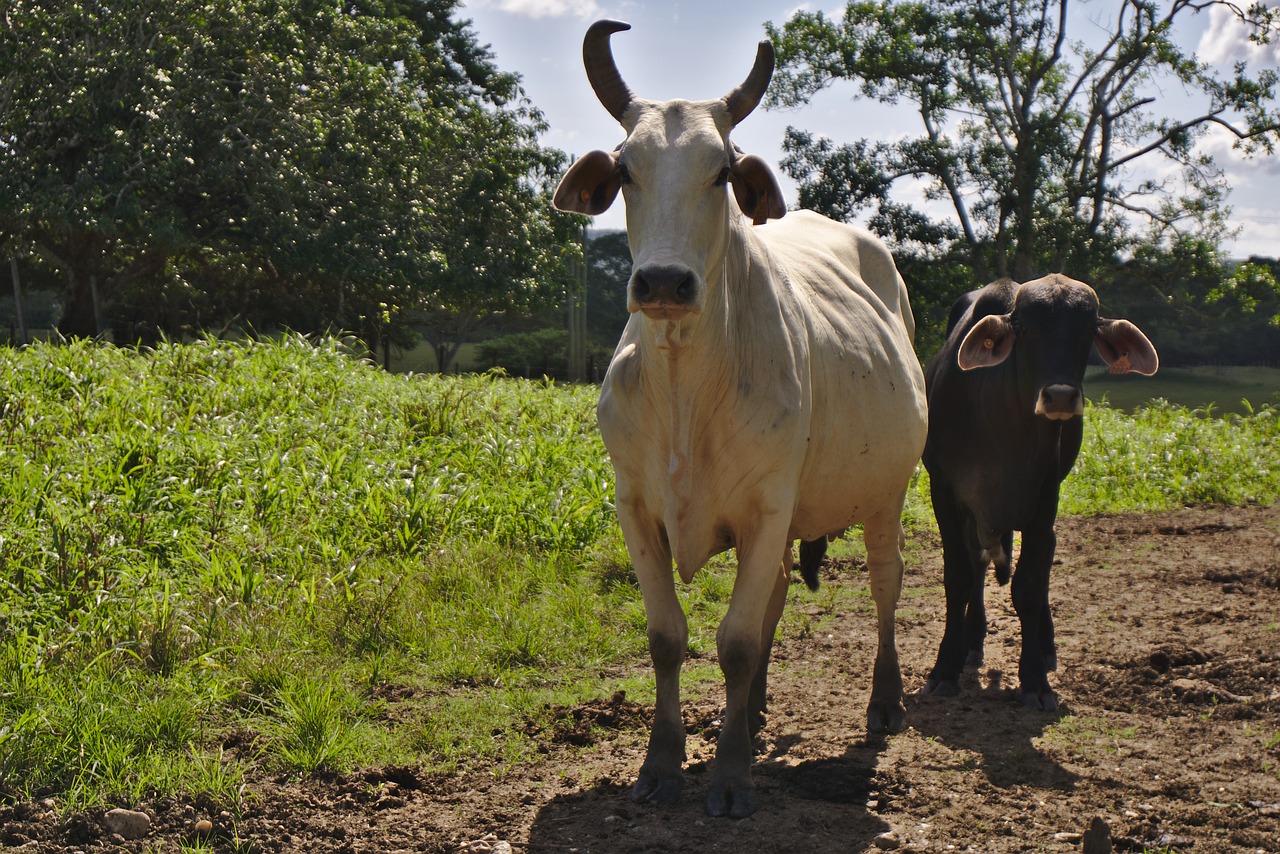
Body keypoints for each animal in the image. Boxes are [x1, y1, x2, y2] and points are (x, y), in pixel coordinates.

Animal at [555, 21, 926, 819]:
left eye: (722, 172)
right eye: (625, 169)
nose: (663, 283)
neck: (685, 384)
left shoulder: (768, 506)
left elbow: (735, 642)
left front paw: (729, 777)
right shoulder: (636, 506)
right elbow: (670, 637)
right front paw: (663, 765)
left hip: (887, 492)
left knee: (885, 584)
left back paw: (884, 701)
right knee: (777, 599)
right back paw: (751, 712)